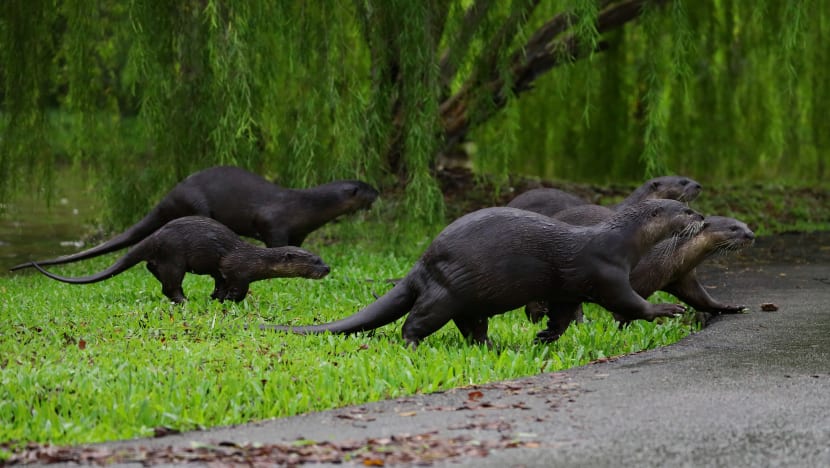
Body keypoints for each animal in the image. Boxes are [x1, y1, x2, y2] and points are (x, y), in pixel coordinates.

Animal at [11, 166, 378, 271]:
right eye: (368, 189)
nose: (380, 192)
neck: (302, 205)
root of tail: (170, 194)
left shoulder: (298, 232)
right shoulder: (274, 222)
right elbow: (272, 241)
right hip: (196, 203)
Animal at [29, 216, 331, 303]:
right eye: (314, 260)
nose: (327, 267)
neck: (254, 258)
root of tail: (156, 235)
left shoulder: (222, 270)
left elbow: (219, 281)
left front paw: (216, 298)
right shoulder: (238, 269)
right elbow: (237, 286)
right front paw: (230, 301)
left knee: (153, 269)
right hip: (174, 257)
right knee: (169, 284)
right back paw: (183, 301)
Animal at [264, 200, 704, 347]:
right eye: (683, 209)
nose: (701, 217)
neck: (621, 241)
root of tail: (423, 264)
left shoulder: (568, 287)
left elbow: (563, 314)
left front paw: (544, 336)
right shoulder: (606, 271)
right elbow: (628, 302)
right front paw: (666, 311)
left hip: (470, 297)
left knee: (471, 325)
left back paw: (490, 345)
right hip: (446, 292)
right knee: (416, 321)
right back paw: (412, 344)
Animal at [530, 216, 755, 343]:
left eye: (746, 224)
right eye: (733, 228)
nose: (751, 234)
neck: (669, 256)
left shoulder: (682, 277)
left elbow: (702, 300)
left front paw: (731, 307)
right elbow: (623, 311)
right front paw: (620, 336)